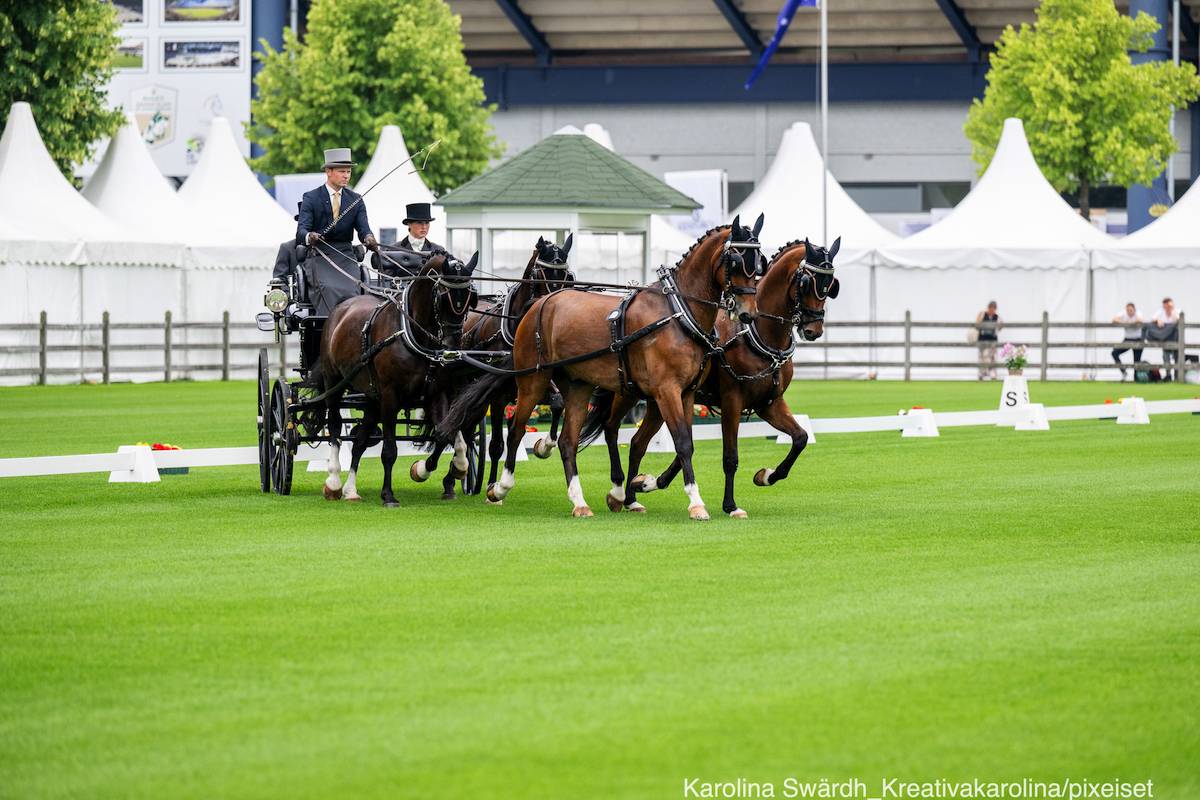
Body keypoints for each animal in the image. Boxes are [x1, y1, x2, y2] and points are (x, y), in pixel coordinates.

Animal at [308, 251, 479, 507]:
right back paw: (334, 482)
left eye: (469, 298)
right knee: (336, 427)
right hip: (334, 382)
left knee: (359, 441)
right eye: (442, 298)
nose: (452, 346)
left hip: (371, 396)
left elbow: (444, 434)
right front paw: (388, 495)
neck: (412, 333)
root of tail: (340, 309)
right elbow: (389, 450)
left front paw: (436, 469)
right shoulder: (390, 397)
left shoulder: (435, 394)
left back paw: (351, 489)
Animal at [454, 235, 574, 491]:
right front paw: (492, 484)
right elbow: (496, 445)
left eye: (567, 275)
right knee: (465, 425)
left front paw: (545, 446)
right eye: (541, 273)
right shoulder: (498, 397)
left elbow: (558, 402)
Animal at [587, 237, 842, 519]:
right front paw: (730, 505)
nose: (813, 330)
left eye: (831, 285)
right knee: (611, 428)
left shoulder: (769, 404)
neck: (756, 334)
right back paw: (618, 492)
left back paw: (632, 497)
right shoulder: (732, 401)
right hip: (628, 392)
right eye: (807, 282)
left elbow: (800, 438)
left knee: (637, 444)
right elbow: (729, 456)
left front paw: (767, 476)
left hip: (656, 400)